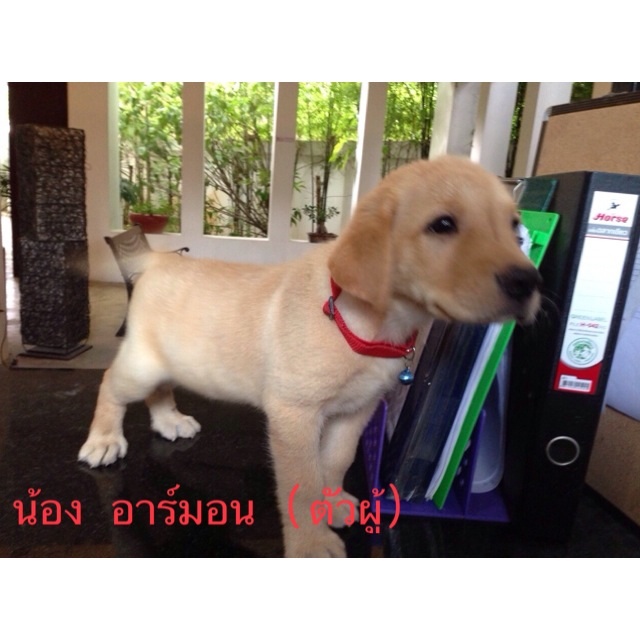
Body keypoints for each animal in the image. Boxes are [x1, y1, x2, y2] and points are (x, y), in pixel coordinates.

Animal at [78, 155, 541, 557]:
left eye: (514, 226)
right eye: (443, 225)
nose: (528, 281)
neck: (367, 324)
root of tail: (156, 260)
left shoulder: (356, 411)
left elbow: (334, 461)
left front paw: (331, 501)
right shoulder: (294, 413)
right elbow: (301, 482)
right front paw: (311, 544)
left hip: (175, 363)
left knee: (160, 391)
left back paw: (169, 420)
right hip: (141, 364)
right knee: (109, 384)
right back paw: (104, 440)